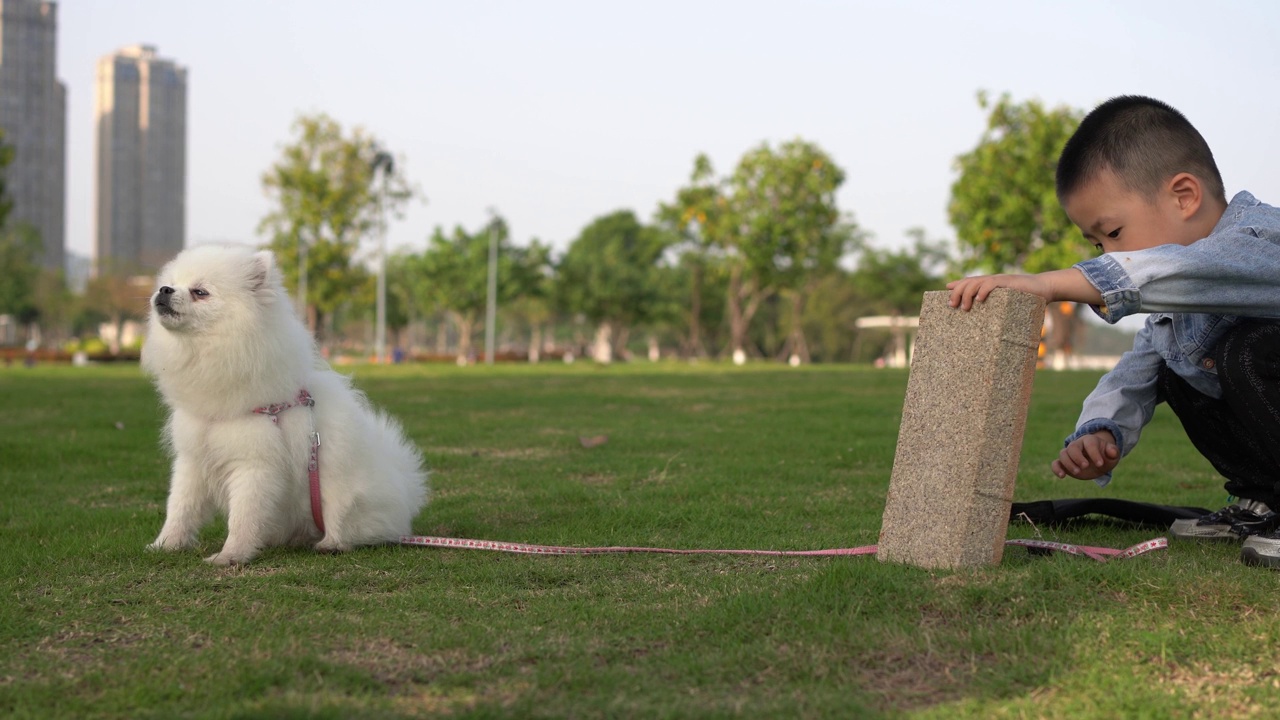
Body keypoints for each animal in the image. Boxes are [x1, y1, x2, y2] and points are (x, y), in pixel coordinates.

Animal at [142, 243, 427, 563]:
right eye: (172, 282)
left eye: (200, 292)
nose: (164, 290)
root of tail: (404, 490)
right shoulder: (192, 459)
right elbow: (180, 508)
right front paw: (165, 544)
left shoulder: (255, 464)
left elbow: (242, 517)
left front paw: (230, 555)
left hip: (343, 495)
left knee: (344, 525)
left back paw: (330, 543)